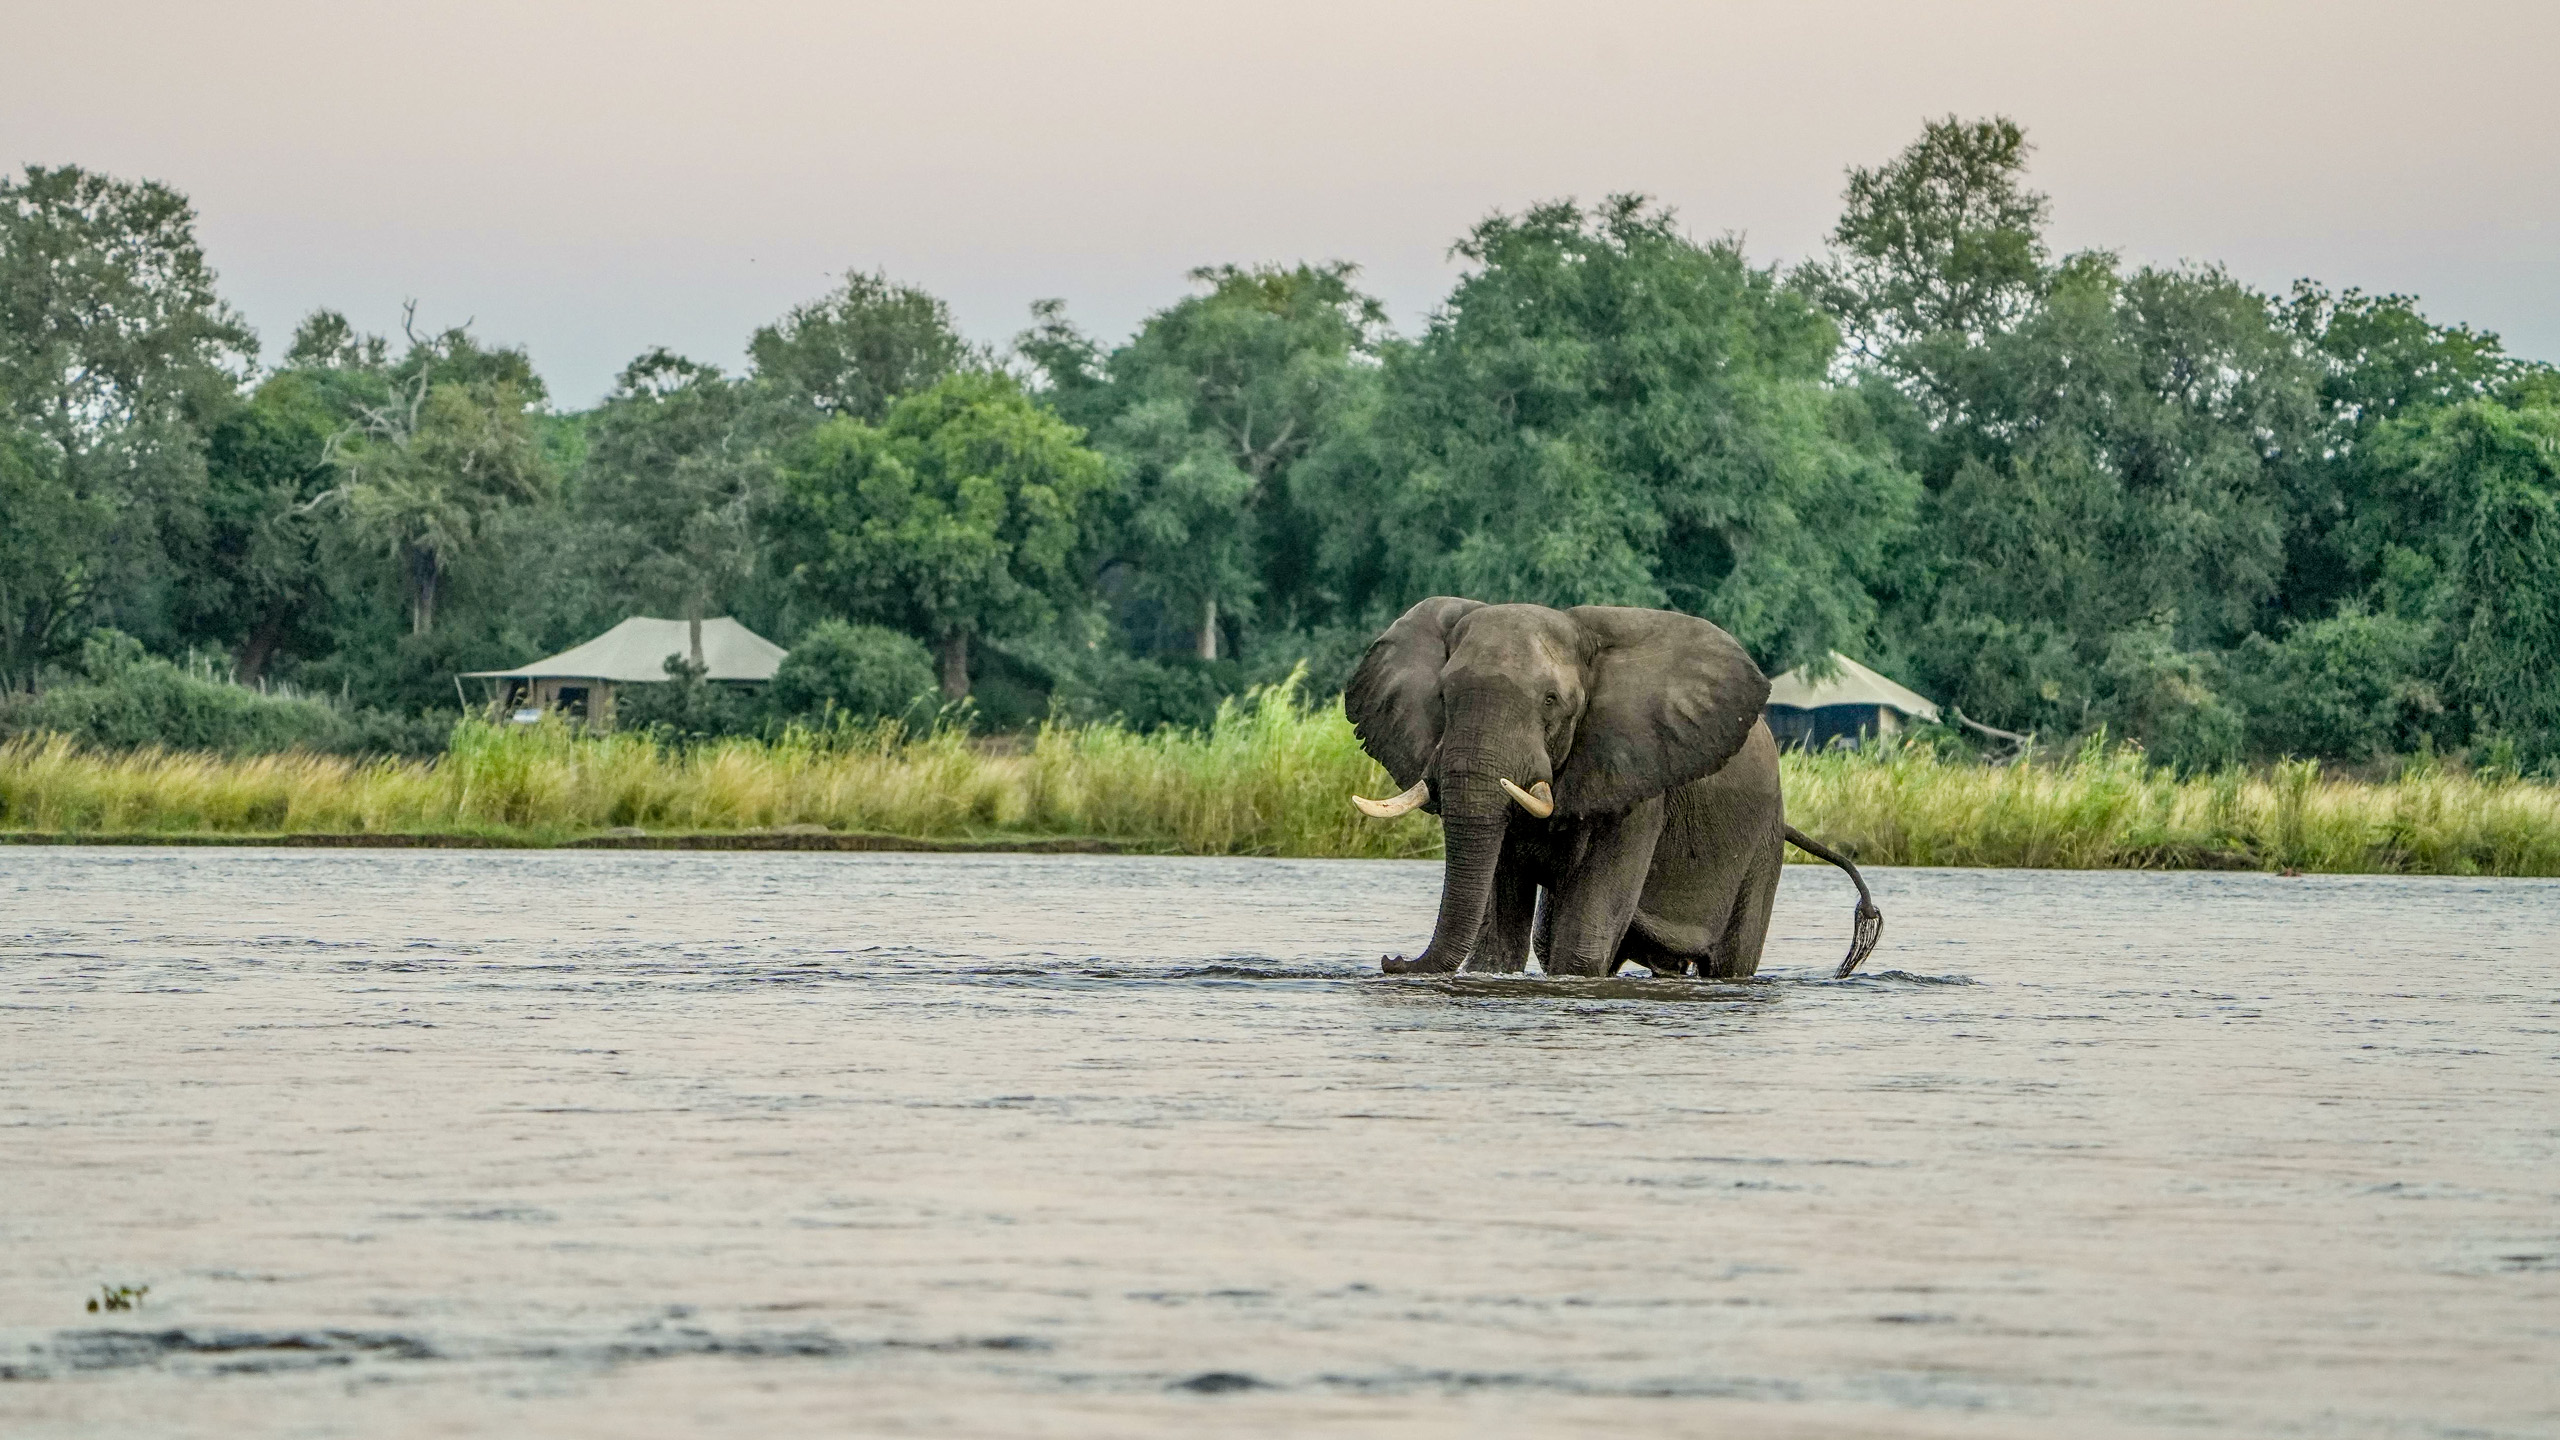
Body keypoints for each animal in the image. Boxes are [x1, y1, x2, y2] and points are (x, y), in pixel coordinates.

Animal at [1343, 598, 1881, 979]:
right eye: (1442, 696)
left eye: (1551, 700)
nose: (1391, 960)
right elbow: (1502, 933)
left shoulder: (1637, 780)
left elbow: (1582, 943)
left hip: (1762, 843)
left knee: (1730, 960)